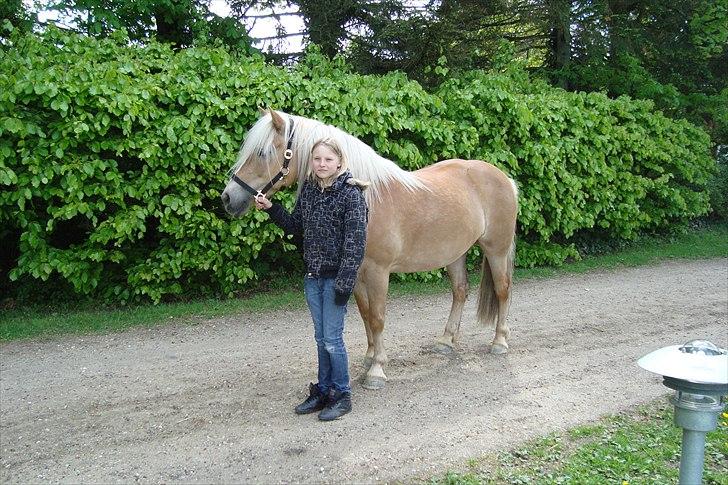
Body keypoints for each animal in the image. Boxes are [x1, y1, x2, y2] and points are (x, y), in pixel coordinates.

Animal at [220, 109, 516, 390]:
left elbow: (377, 318)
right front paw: (369, 358)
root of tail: (504, 178)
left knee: (502, 290)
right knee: (460, 291)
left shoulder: (378, 273)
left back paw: (500, 342)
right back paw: (445, 341)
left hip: (496, 249)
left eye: (263, 152)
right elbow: (364, 315)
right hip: (454, 253)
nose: (228, 198)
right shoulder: (356, 273)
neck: (367, 199)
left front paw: (377, 370)